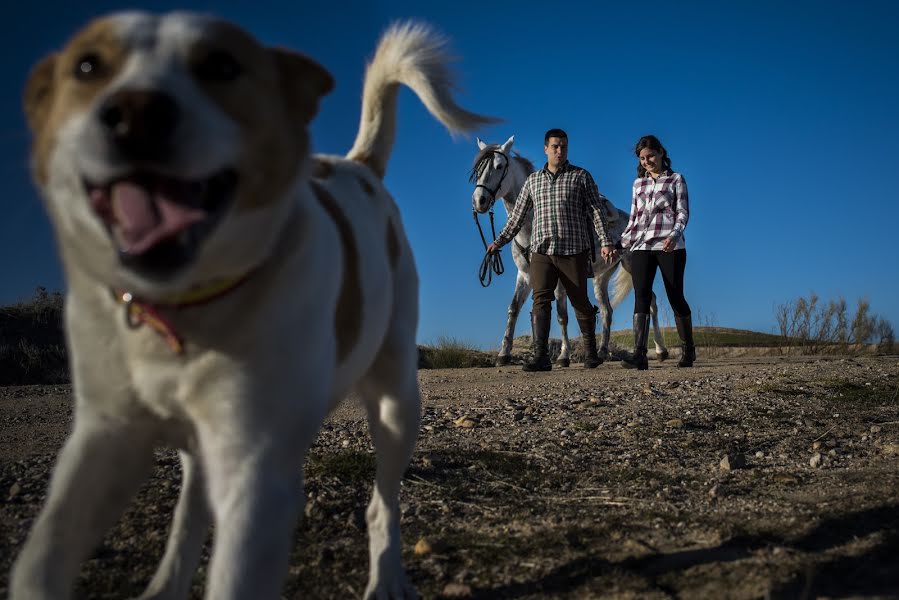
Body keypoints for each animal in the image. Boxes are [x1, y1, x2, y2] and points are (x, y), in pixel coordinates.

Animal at [12, 10, 492, 600]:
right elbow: (40, 559)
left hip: (396, 401)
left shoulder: (256, 475)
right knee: (189, 515)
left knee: (383, 502)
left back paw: (387, 579)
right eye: (86, 66)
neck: (186, 309)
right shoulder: (104, 438)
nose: (136, 114)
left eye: (222, 65)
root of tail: (356, 165)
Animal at [472, 136, 668, 366]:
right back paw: (603, 351)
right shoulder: (525, 275)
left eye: (499, 166)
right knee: (606, 311)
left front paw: (563, 355)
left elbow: (561, 314)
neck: (532, 227)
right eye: (478, 169)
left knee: (650, 302)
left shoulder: (560, 279)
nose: (479, 200)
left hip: (632, 267)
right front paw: (504, 353)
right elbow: (514, 309)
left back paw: (659, 350)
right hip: (601, 278)